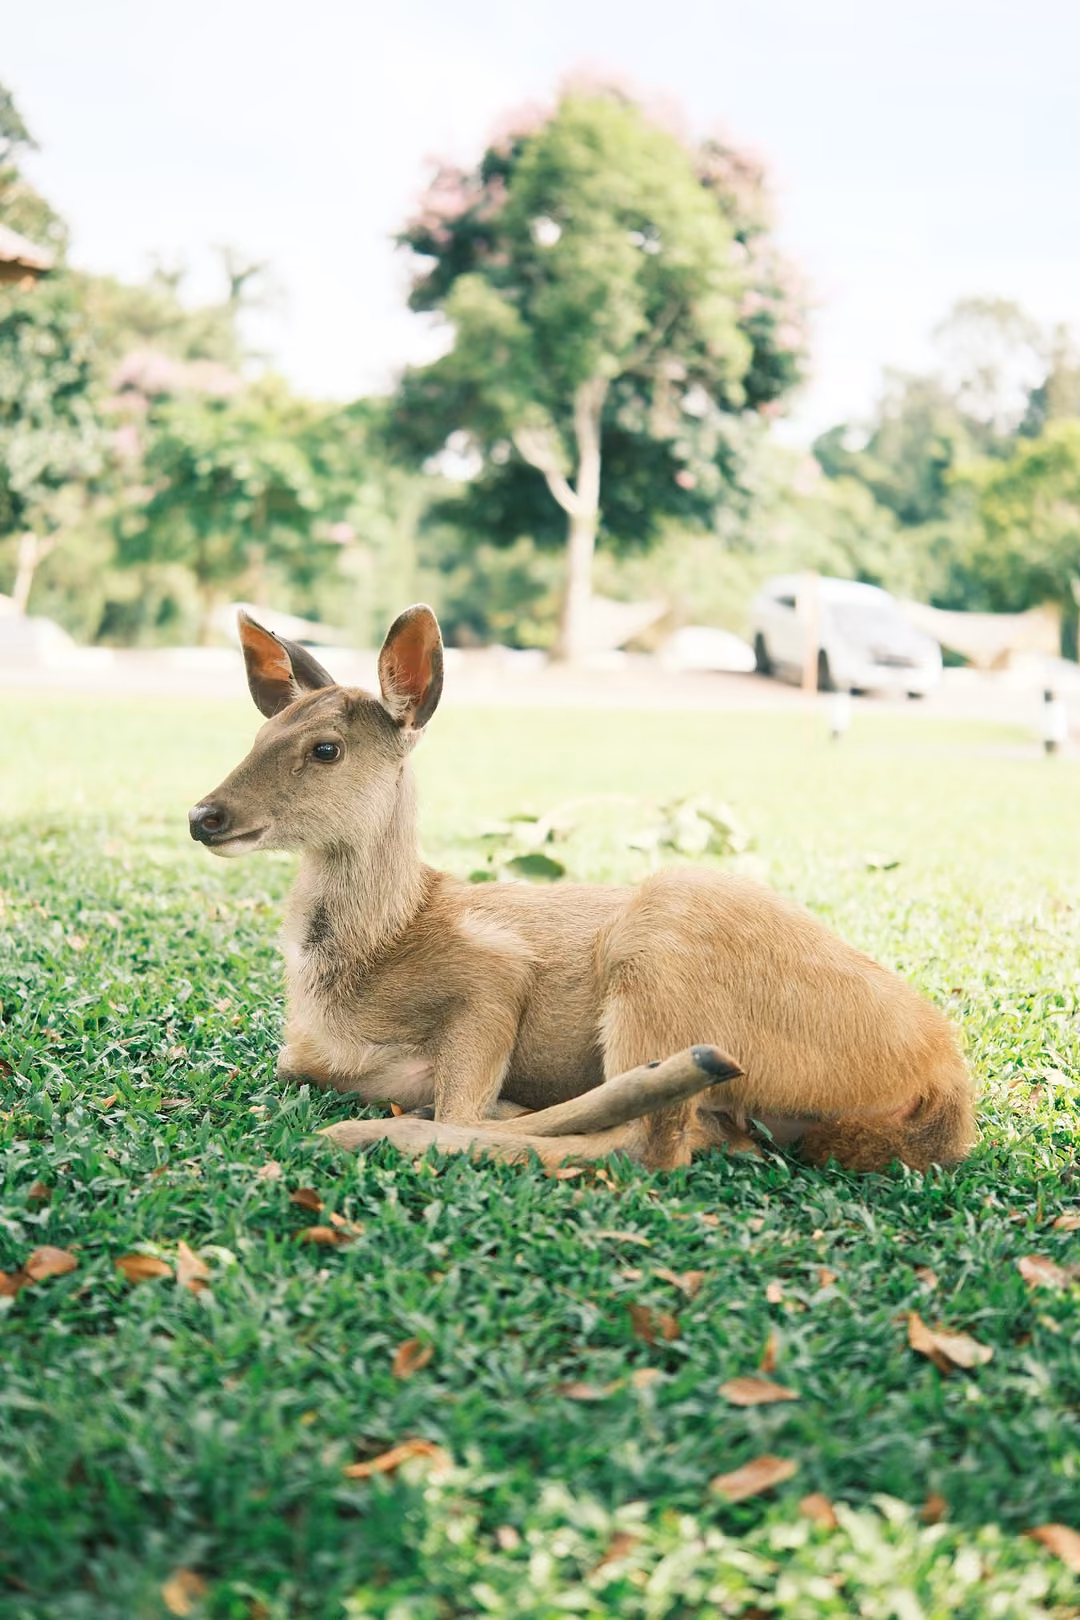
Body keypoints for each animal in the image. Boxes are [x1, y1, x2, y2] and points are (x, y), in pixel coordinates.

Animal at [187, 604, 975, 1173]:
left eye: (326, 749)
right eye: (256, 738)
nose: (204, 815)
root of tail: (942, 1078)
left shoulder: (494, 973)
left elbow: (461, 1101)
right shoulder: (308, 1051)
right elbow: (301, 1065)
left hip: (662, 946)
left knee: (645, 1144)